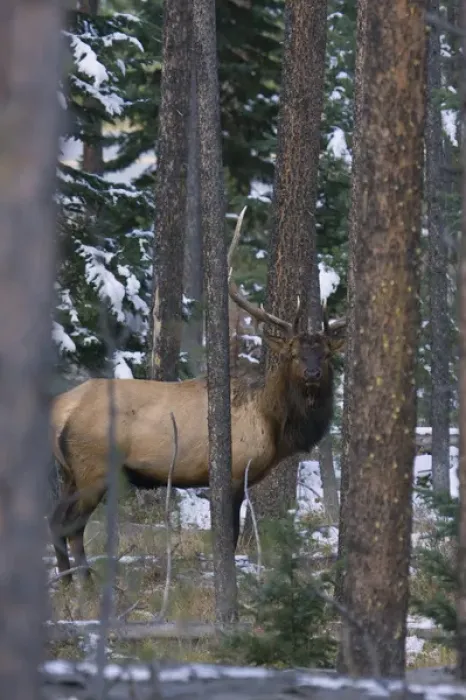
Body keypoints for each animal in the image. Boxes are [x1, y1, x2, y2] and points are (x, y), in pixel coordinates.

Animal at [48, 208, 346, 584]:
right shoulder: (233, 473)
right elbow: (228, 538)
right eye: (293, 353)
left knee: (56, 521)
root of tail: (61, 409)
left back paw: (68, 581)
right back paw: (83, 584)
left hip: (68, 471)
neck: (273, 422)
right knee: (70, 524)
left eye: (326, 354)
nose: (312, 373)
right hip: (94, 467)